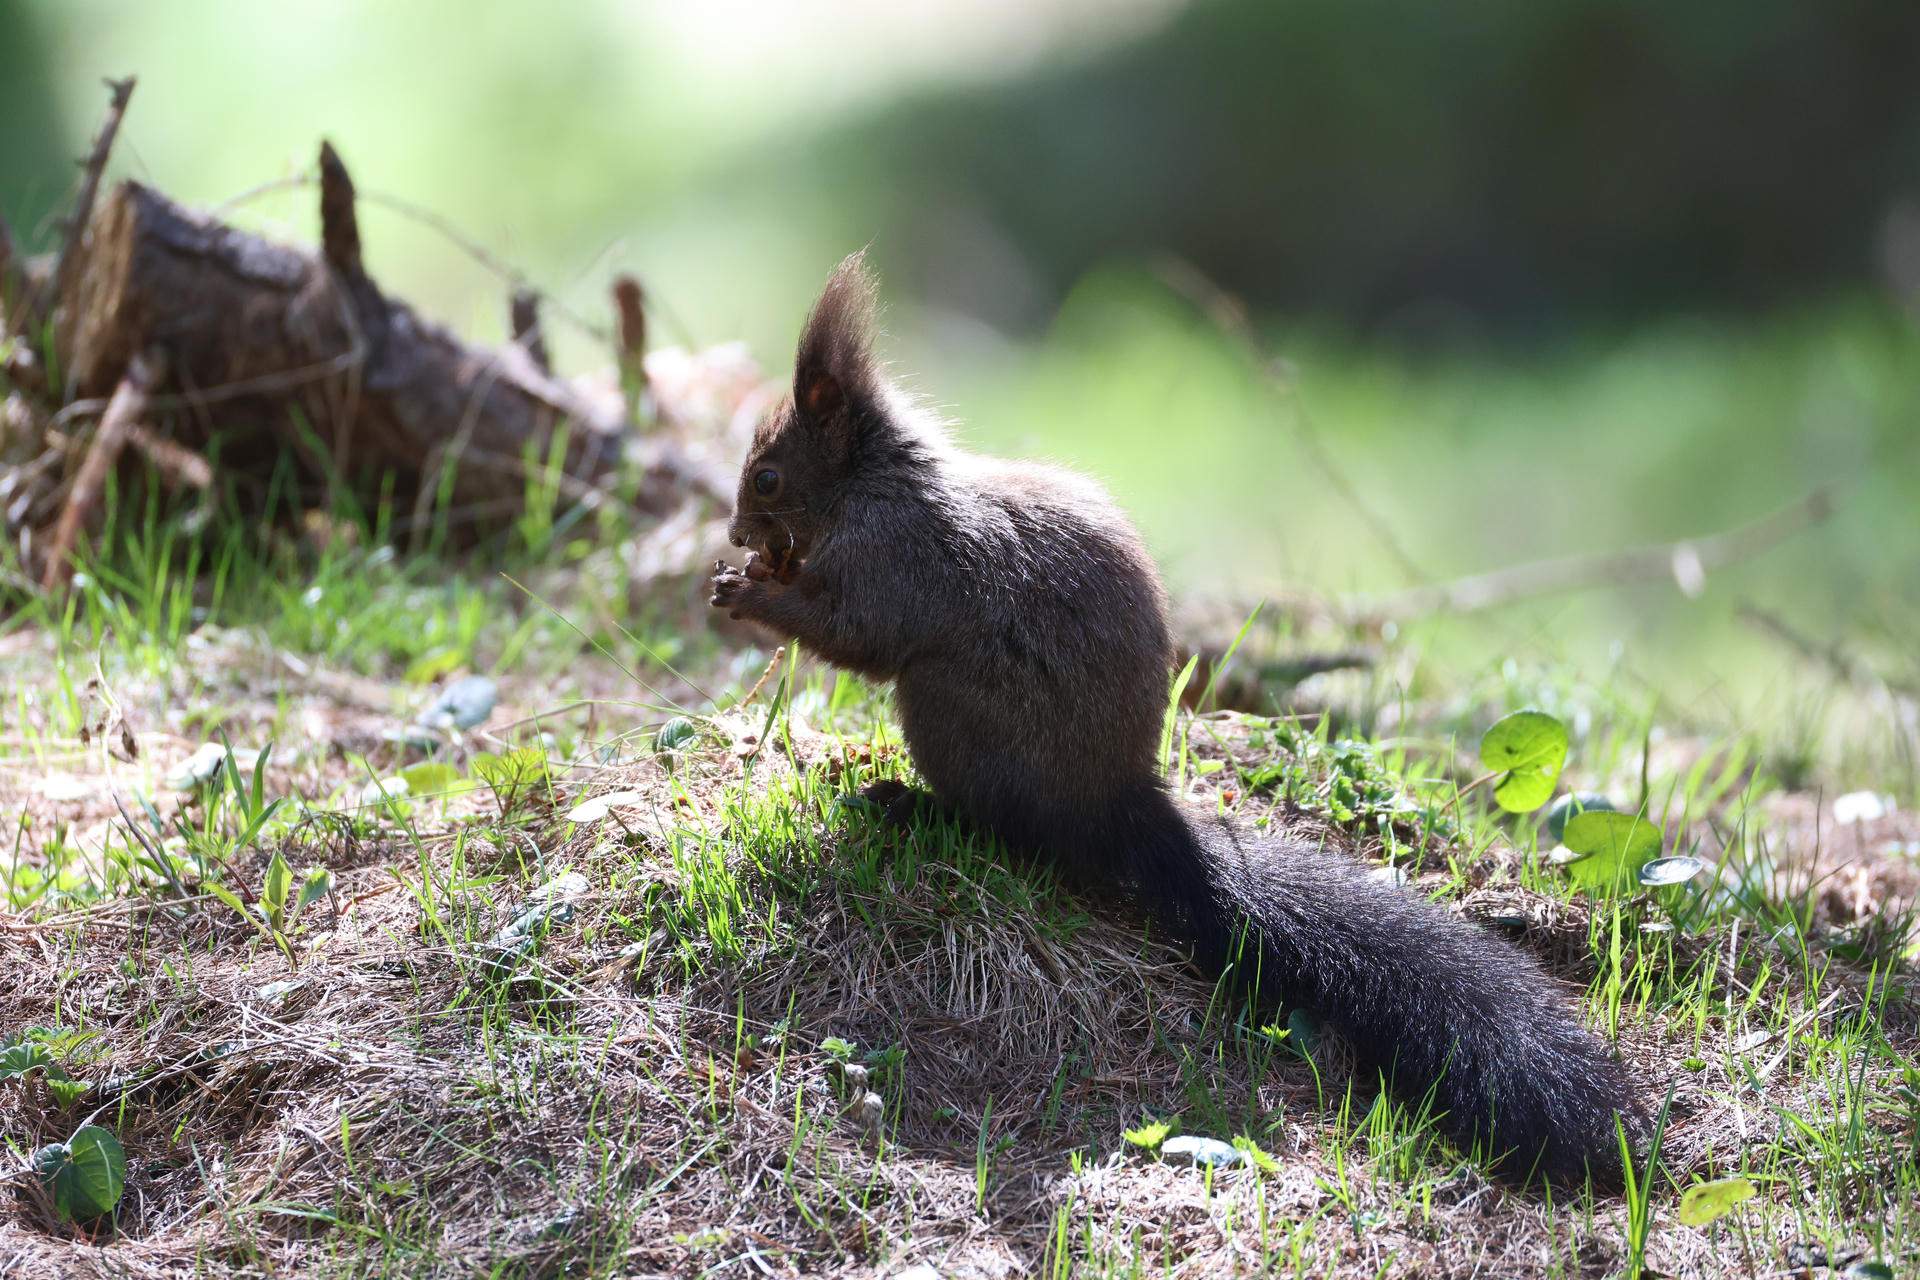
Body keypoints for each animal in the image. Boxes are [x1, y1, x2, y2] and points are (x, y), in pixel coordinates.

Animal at [710, 254, 1644, 1185]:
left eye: (767, 476)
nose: (736, 534)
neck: (875, 484)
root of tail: (1119, 810)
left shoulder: (894, 556)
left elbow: (860, 632)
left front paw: (752, 594)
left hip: (948, 712)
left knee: (1015, 836)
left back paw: (917, 806)